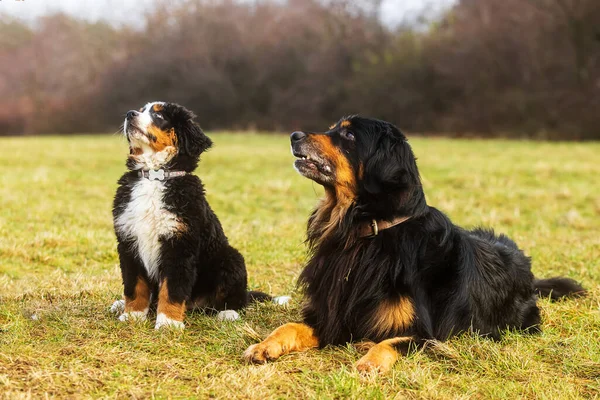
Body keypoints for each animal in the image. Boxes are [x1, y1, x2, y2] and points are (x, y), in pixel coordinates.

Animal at [112, 101, 270, 330]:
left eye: (159, 116)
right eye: (141, 110)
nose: (129, 114)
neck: (154, 177)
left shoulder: (179, 244)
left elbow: (172, 289)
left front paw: (168, 323)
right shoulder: (128, 241)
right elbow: (135, 286)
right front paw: (132, 315)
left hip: (231, 258)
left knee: (237, 299)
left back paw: (228, 313)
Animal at [243, 117, 580, 374]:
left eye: (349, 134)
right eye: (331, 128)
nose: (294, 135)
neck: (367, 232)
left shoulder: (424, 334)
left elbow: (388, 343)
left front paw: (368, 363)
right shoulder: (332, 316)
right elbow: (289, 326)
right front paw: (264, 345)